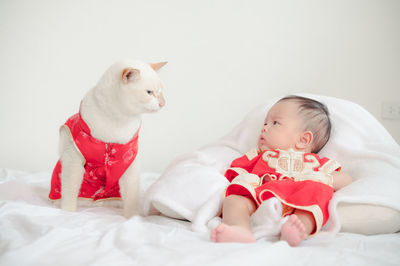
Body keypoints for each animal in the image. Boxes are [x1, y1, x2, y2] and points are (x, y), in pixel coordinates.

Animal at [49, 59, 166, 217]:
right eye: (149, 92)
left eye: (161, 92)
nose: (163, 103)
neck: (117, 120)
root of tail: (97, 203)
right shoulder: (73, 161)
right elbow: (69, 191)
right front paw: (68, 213)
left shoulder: (129, 163)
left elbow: (132, 196)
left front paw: (133, 217)